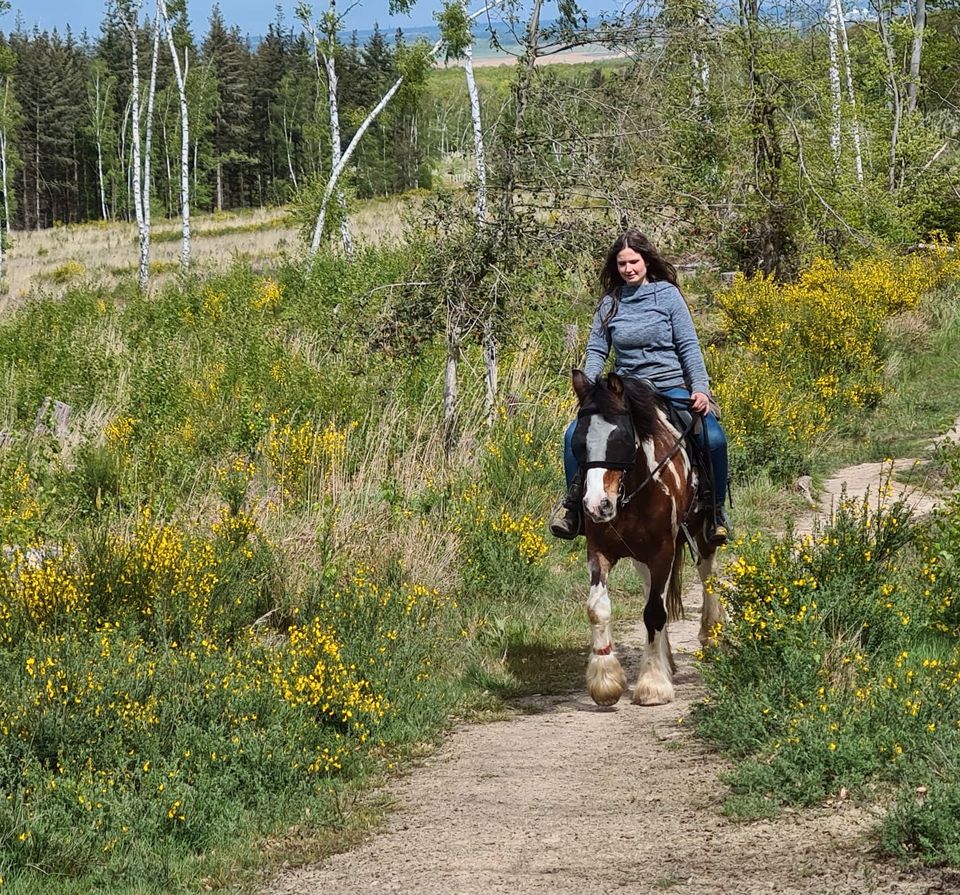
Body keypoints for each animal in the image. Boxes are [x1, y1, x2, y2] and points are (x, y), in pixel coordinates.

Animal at [568, 370, 720, 708]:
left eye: (620, 440)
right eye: (578, 441)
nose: (596, 505)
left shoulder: (663, 549)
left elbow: (653, 613)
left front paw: (652, 685)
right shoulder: (599, 550)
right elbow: (597, 608)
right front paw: (605, 680)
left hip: (700, 533)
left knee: (706, 572)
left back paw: (712, 635)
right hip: (640, 553)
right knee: (652, 587)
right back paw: (667, 659)